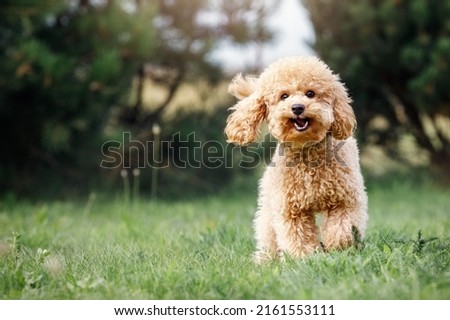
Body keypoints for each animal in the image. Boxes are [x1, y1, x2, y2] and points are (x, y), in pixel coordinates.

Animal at [225, 56, 370, 262]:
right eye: (284, 96)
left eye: (310, 93)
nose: (298, 107)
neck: (306, 150)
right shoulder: (291, 209)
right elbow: (297, 236)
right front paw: (304, 259)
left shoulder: (346, 199)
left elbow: (342, 227)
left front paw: (338, 247)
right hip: (268, 206)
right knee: (267, 235)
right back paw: (264, 260)